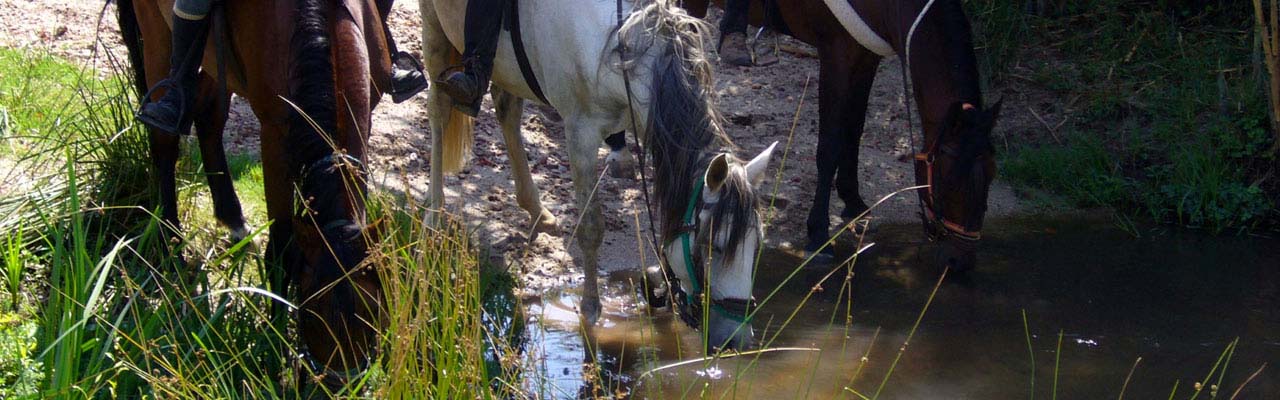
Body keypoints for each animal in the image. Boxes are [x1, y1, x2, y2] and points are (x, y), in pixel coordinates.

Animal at [119, 0, 389, 376]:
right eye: (311, 313)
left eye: (373, 312)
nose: (338, 383)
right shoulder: (275, 140)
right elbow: (281, 250)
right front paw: (276, 351)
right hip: (157, 34)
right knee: (165, 139)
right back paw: (170, 245)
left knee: (209, 117)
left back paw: (232, 219)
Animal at [424, 0, 773, 348]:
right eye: (714, 246)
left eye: (757, 245)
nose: (738, 341)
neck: (618, 47)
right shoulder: (580, 135)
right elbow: (591, 227)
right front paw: (590, 309)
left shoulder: (647, 120)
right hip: (434, 28)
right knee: (438, 108)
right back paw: (434, 210)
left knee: (507, 108)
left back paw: (536, 210)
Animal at [680, 0, 998, 271]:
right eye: (949, 180)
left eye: (992, 175)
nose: (960, 260)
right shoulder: (837, 52)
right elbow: (830, 145)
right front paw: (819, 234)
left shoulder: (867, 54)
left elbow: (854, 131)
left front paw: (854, 202)